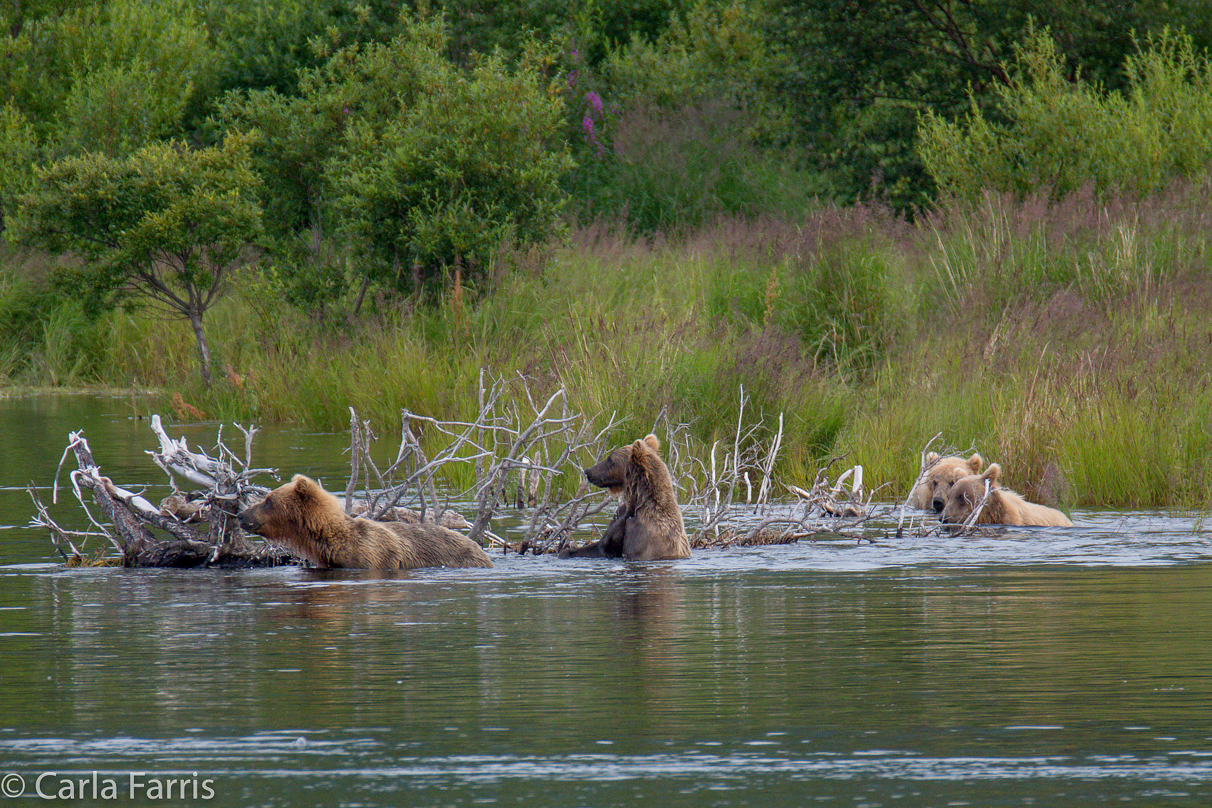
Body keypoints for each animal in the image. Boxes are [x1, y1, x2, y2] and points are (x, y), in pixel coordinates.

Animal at [557, 436, 693, 562]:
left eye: (610, 459)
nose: (588, 471)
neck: (639, 502)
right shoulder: (621, 515)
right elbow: (601, 544)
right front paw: (565, 550)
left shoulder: (641, 535)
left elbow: (605, 548)